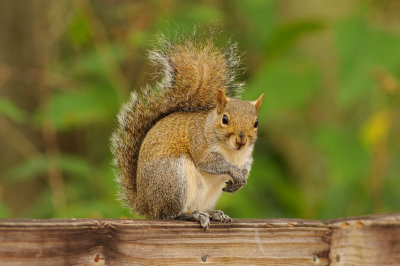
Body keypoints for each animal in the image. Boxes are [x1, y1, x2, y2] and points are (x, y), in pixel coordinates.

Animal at [111, 32, 264, 229]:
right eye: (225, 119)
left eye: (256, 123)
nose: (241, 141)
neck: (232, 152)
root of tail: (146, 204)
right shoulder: (200, 143)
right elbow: (209, 162)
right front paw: (233, 171)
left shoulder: (246, 156)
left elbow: (246, 166)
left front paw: (241, 178)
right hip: (173, 179)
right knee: (169, 214)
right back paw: (192, 216)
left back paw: (213, 213)